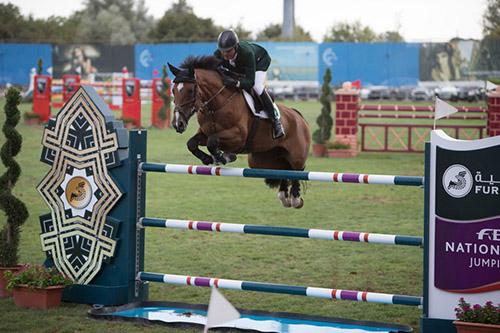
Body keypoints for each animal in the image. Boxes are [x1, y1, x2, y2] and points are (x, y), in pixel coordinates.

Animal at [168, 56, 308, 208]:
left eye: (190, 90)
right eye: (173, 91)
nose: (178, 124)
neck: (216, 106)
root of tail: (298, 116)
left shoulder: (238, 137)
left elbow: (213, 141)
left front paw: (224, 157)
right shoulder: (204, 133)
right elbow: (192, 143)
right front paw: (208, 158)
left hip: (296, 155)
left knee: (296, 170)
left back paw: (295, 198)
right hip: (261, 161)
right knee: (282, 170)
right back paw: (284, 196)